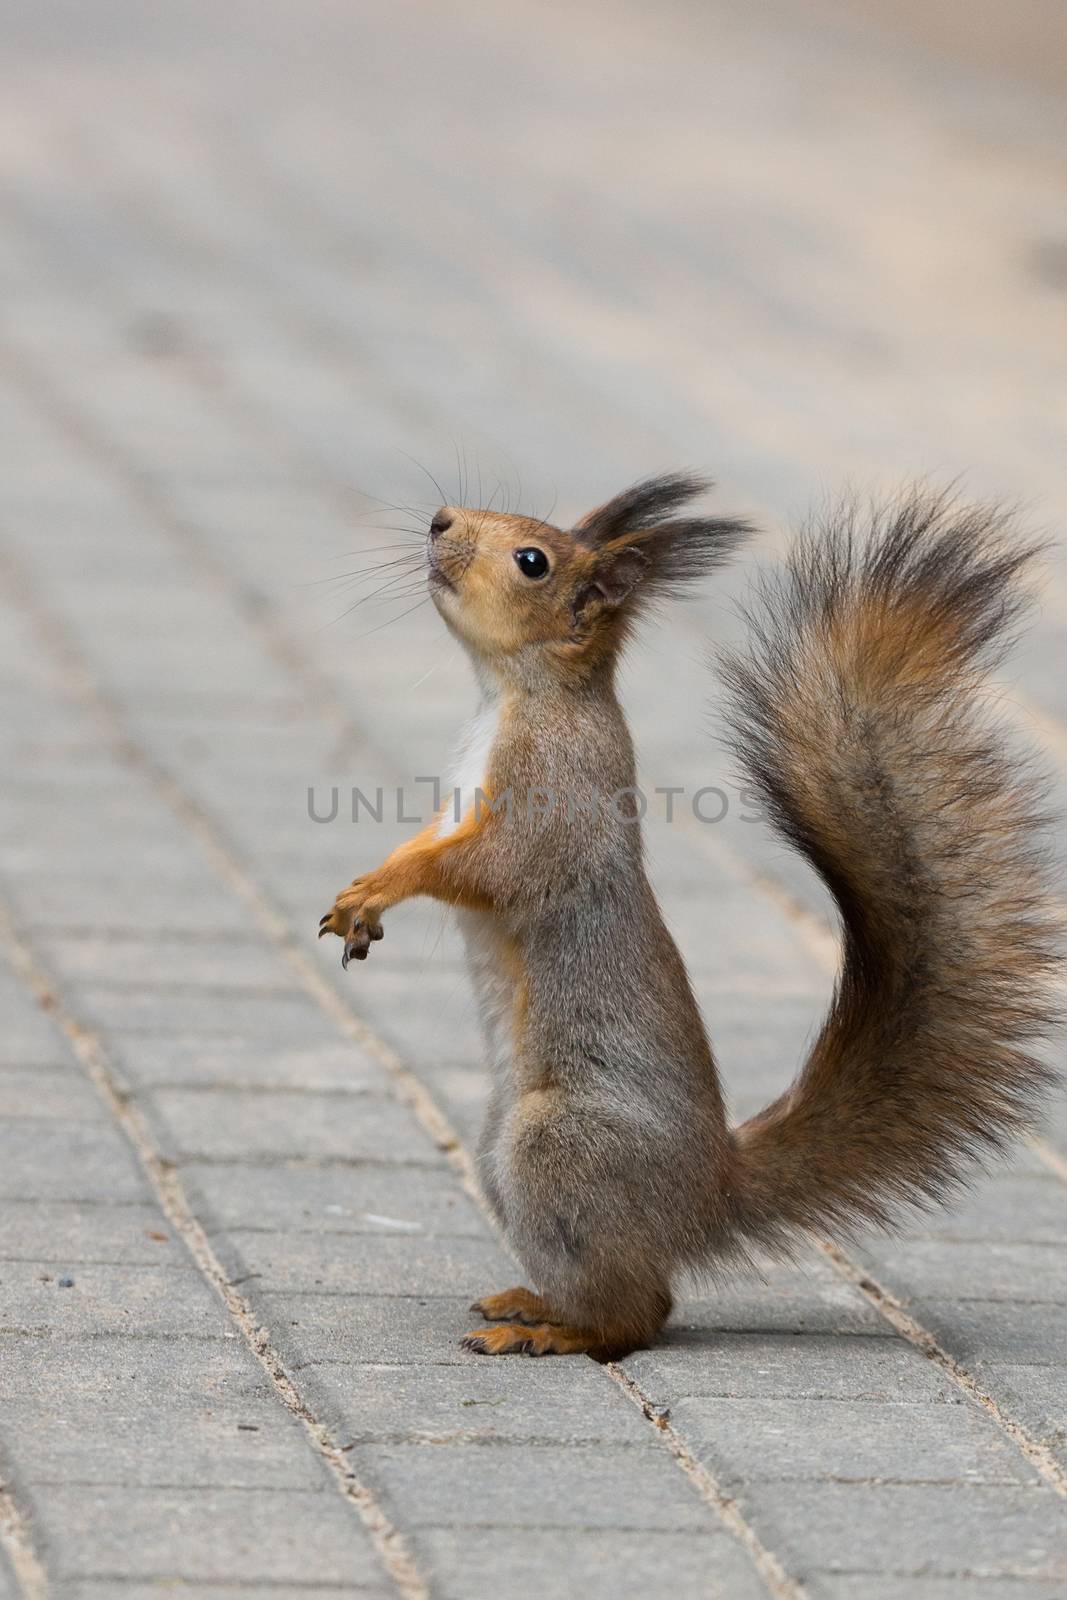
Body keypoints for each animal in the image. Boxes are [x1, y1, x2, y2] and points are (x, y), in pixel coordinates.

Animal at [316, 476, 1062, 1363]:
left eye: (532, 561)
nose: (438, 522)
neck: (511, 695)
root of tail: (703, 1195)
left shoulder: (552, 798)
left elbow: (489, 868)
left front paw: (381, 888)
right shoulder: (453, 806)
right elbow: (428, 840)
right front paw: (363, 889)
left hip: (554, 1145)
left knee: (639, 1316)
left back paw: (553, 1332)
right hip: (502, 1147)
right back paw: (531, 1299)